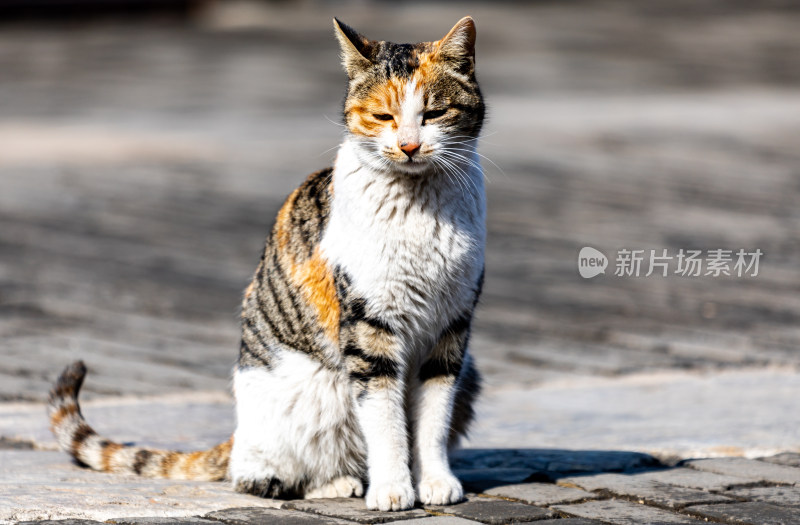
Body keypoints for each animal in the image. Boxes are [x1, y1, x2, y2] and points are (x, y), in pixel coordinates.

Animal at [53, 16, 488, 512]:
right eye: (383, 117)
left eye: (434, 114)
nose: (410, 146)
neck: (419, 204)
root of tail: (238, 434)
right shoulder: (368, 329)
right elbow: (385, 420)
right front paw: (394, 489)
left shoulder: (452, 328)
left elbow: (432, 416)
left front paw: (434, 482)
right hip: (313, 393)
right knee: (257, 476)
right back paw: (339, 483)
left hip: (470, 372)